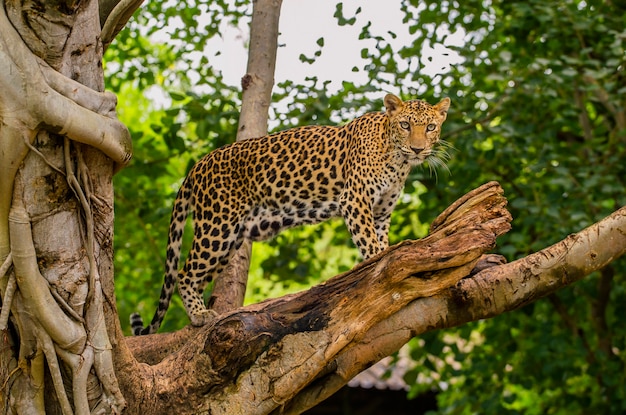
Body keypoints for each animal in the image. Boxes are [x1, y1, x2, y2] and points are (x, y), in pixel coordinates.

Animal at [132, 93, 450, 334]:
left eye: (430, 127)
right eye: (405, 125)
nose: (417, 149)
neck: (398, 160)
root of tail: (197, 166)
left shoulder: (381, 213)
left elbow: (380, 243)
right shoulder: (355, 201)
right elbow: (372, 247)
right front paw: (382, 274)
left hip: (231, 238)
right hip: (217, 226)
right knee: (184, 272)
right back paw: (200, 315)